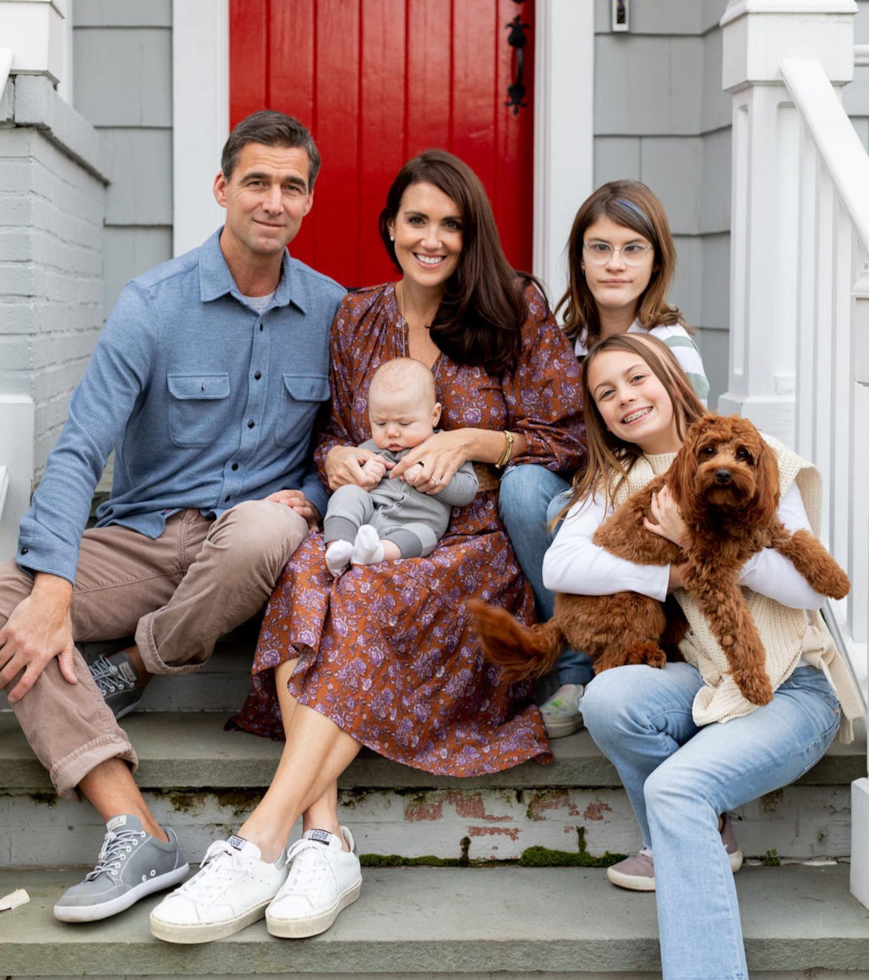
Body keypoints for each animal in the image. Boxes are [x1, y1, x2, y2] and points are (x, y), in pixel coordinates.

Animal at [472, 414, 852, 704]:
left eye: (744, 454)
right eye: (708, 451)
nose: (723, 474)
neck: (724, 511)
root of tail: (558, 620)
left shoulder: (766, 528)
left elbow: (804, 541)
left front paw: (836, 580)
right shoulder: (712, 577)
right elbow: (741, 635)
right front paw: (755, 683)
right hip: (637, 604)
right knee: (605, 664)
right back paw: (647, 655)